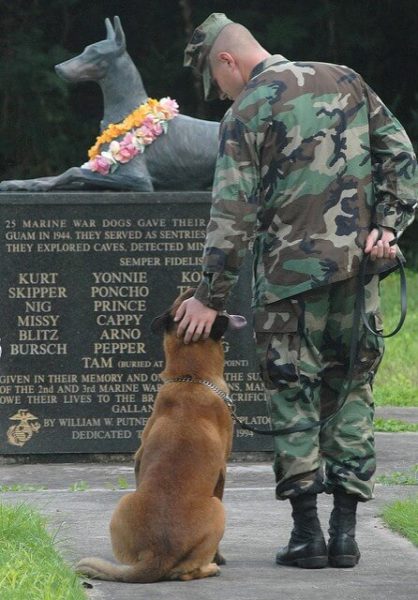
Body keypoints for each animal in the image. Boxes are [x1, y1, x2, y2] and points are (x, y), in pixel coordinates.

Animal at [76, 290, 245, 580]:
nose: (195, 291)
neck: (191, 378)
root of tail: (158, 554)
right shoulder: (222, 472)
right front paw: (219, 558)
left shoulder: (138, 458)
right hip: (218, 509)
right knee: (188, 572)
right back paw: (210, 567)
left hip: (124, 502)